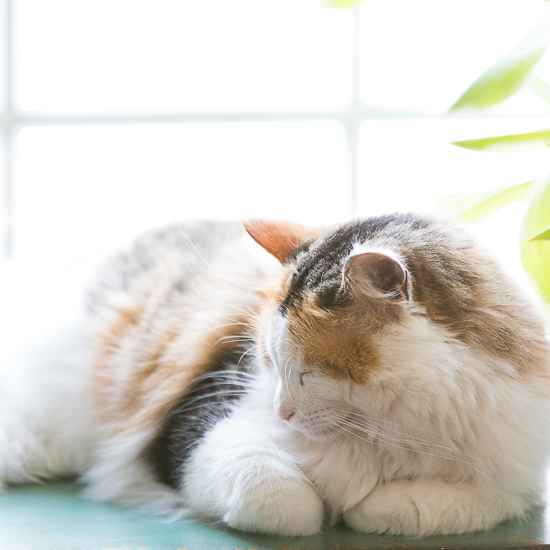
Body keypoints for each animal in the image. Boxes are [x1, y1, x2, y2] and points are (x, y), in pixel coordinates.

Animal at [1, 216, 550, 540]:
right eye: (266, 361)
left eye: (307, 372)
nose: (281, 410)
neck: (386, 429)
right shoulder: (196, 423)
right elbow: (284, 502)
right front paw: (324, 509)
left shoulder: (513, 477)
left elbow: (406, 508)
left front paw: (365, 506)